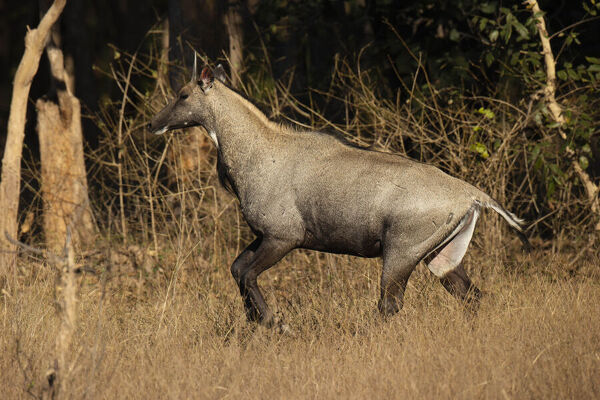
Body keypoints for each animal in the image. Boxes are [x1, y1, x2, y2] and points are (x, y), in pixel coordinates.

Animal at [149, 59, 528, 326]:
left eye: (183, 95)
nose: (154, 123)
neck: (260, 150)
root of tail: (473, 195)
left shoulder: (284, 236)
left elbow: (246, 273)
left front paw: (272, 322)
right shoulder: (265, 236)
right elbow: (236, 267)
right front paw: (258, 321)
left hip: (401, 254)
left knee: (389, 305)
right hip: (442, 256)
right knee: (471, 296)